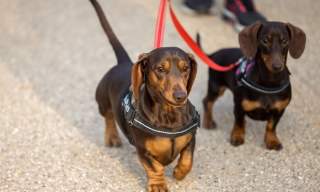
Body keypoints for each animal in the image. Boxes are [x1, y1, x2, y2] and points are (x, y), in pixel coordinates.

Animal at [90, 0, 199, 191]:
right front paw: (158, 185)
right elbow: (155, 168)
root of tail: (123, 63)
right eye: (160, 69)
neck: (169, 116)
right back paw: (112, 137)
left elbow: (188, 159)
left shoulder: (190, 140)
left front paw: (179, 172)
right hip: (102, 101)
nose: (180, 96)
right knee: (109, 117)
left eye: (186, 68)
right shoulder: (143, 150)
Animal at [201, 21, 306, 150]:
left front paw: (272, 141)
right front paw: (237, 136)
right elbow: (239, 123)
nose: (277, 66)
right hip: (216, 87)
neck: (269, 83)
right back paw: (208, 122)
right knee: (207, 101)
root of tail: (212, 54)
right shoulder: (239, 106)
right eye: (265, 41)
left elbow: (271, 126)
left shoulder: (279, 110)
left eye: (285, 41)